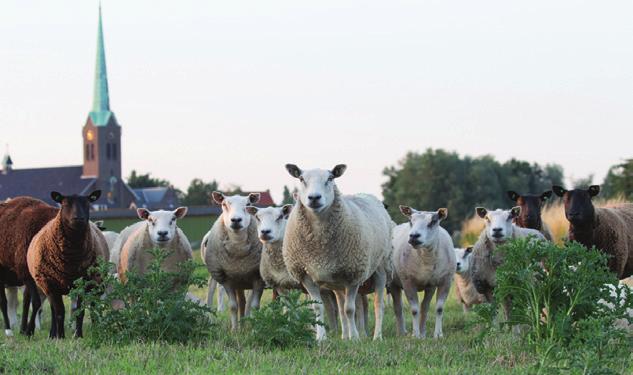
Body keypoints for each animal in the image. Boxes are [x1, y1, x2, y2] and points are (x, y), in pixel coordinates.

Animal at [26, 191, 108, 340]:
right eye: (64, 204)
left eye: (87, 203)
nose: (78, 218)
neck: (70, 259)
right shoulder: (51, 284)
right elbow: (59, 312)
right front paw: (61, 336)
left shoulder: (84, 283)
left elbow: (80, 312)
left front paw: (78, 335)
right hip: (48, 287)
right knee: (54, 310)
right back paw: (53, 335)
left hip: (94, 282)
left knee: (92, 305)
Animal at [204, 192, 266, 330]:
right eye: (224, 204)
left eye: (248, 204)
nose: (236, 220)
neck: (238, 246)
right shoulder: (227, 279)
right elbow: (233, 306)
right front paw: (234, 330)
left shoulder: (258, 278)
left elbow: (255, 306)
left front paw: (255, 329)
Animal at [280, 164, 390, 340]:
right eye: (301, 179)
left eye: (330, 178)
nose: (314, 198)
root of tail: (367, 195)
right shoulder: (306, 275)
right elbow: (319, 308)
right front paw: (321, 338)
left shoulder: (354, 274)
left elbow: (350, 309)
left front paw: (355, 338)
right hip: (337, 281)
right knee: (340, 304)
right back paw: (344, 336)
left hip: (381, 268)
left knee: (378, 304)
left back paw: (376, 336)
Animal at [390, 207, 454, 340]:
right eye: (411, 221)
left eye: (433, 222)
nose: (414, 236)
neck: (427, 258)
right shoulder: (408, 281)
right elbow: (414, 310)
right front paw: (416, 335)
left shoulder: (446, 281)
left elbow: (439, 308)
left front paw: (438, 334)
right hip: (393, 283)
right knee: (398, 308)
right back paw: (401, 333)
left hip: (430, 286)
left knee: (425, 307)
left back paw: (423, 332)